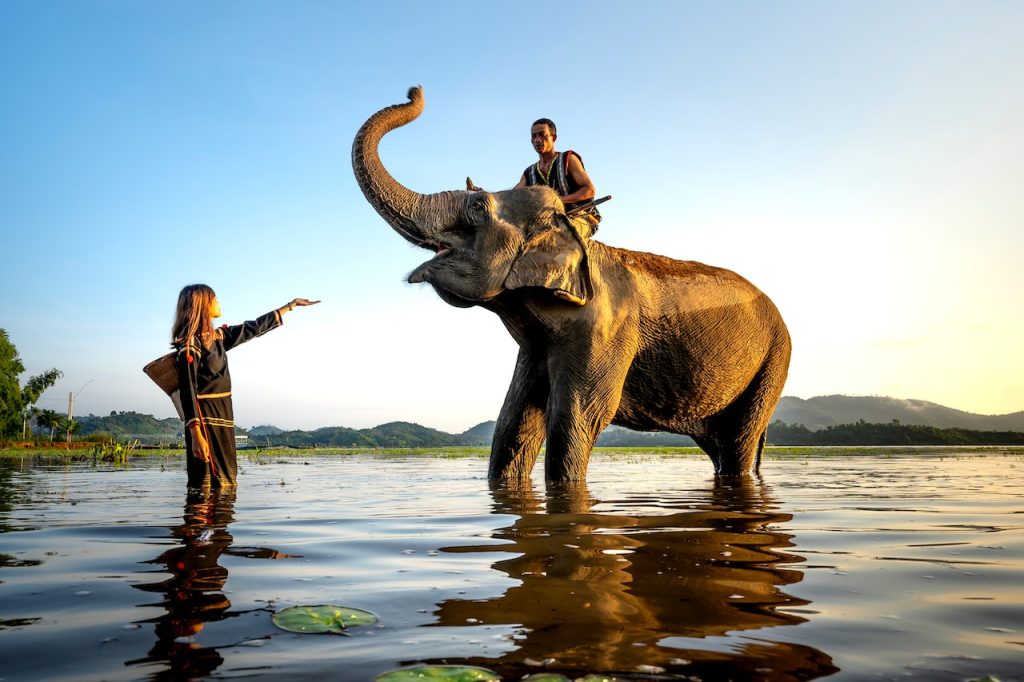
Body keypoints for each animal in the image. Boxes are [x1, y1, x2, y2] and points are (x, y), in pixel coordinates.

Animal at [352, 87, 791, 481]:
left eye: (477, 207)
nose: (414, 90)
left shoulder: (605, 330)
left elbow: (579, 415)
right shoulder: (535, 344)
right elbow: (515, 418)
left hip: (773, 364)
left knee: (738, 443)